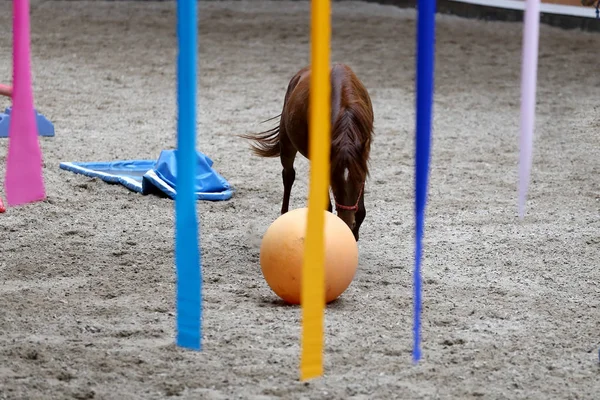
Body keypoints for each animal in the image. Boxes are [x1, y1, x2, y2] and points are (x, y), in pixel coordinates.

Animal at [240, 63, 372, 241]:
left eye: (359, 180)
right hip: (287, 144)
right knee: (288, 176)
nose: (346, 221)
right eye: (334, 183)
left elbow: (361, 211)